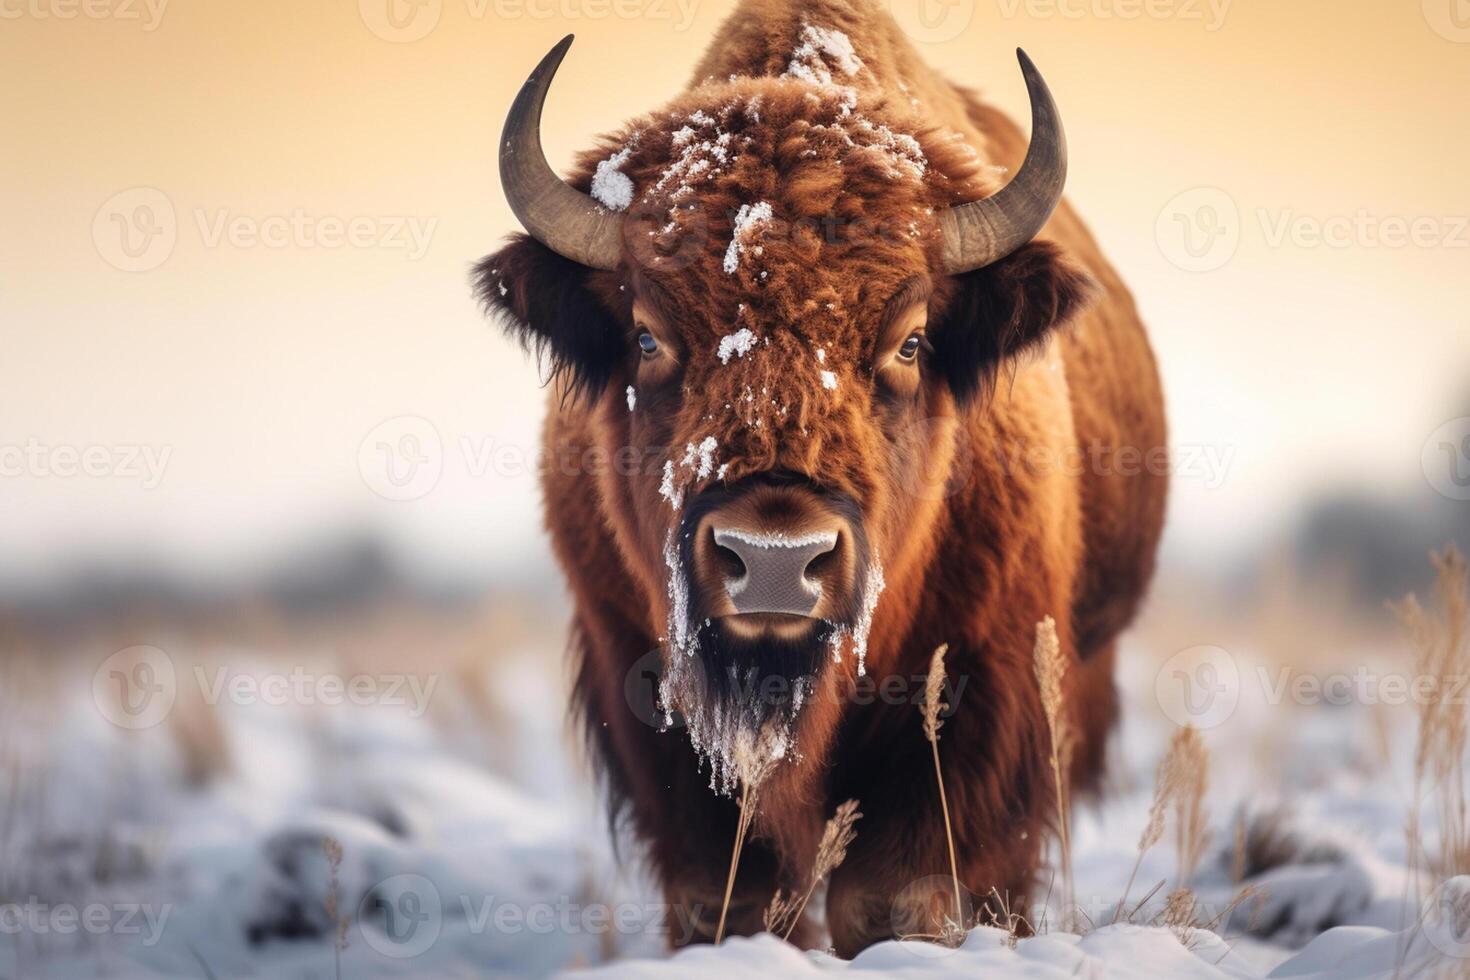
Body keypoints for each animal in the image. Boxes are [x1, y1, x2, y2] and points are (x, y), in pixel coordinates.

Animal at [476, 0, 1164, 952]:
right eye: (647, 335)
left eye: (911, 340)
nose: (773, 562)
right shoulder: (646, 693)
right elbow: (730, 895)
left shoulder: (974, 699)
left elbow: (892, 895)